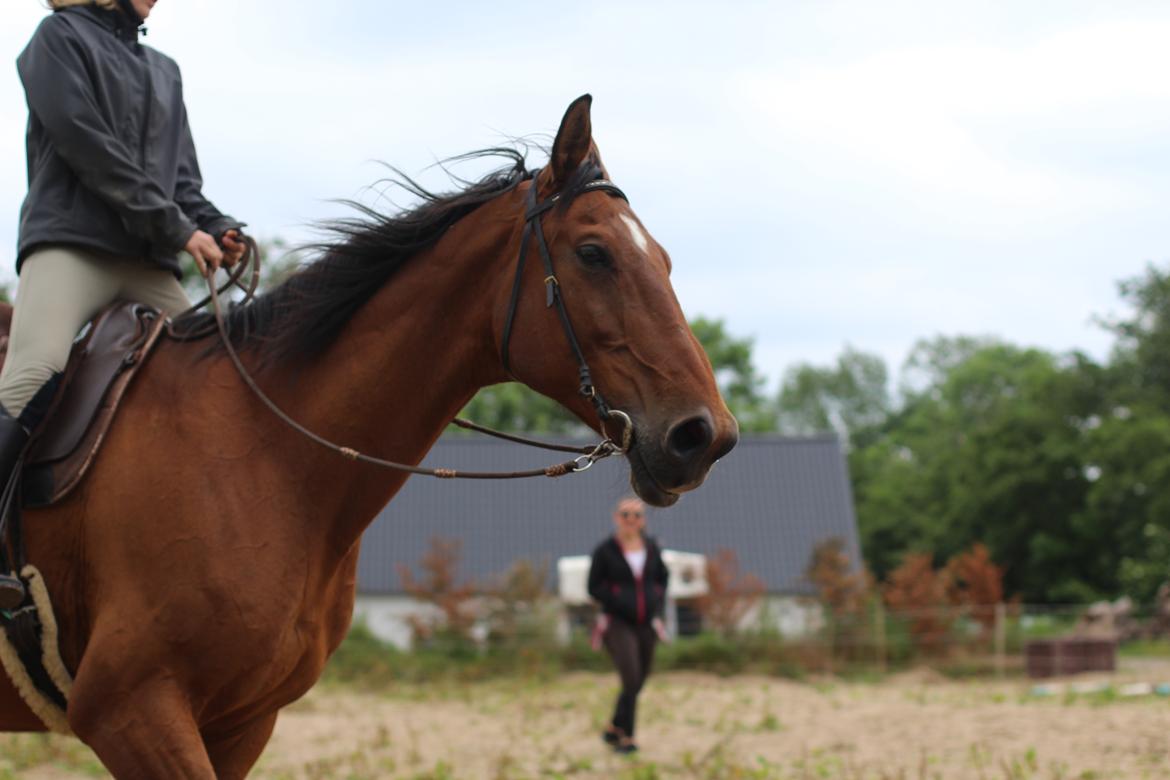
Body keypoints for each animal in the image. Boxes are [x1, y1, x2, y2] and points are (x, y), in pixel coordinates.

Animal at [0, 95, 730, 776]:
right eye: (592, 253)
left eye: (664, 259)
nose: (705, 436)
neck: (261, 456)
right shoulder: (130, 710)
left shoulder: (241, 724)